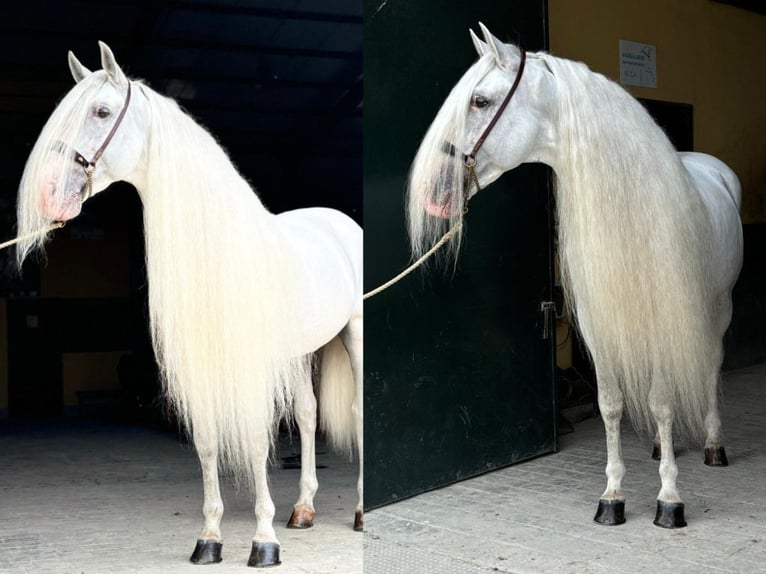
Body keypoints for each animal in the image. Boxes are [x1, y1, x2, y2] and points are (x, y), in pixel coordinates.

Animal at [16, 42, 364, 568]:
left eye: (101, 112)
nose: (47, 193)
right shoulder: (203, 365)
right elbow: (206, 442)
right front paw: (210, 539)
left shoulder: (248, 366)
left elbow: (256, 440)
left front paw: (264, 542)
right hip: (303, 349)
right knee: (307, 414)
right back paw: (303, 510)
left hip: (353, 334)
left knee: (359, 410)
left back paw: (361, 511)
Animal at [408, 25, 744, 532]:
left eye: (481, 101)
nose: (435, 191)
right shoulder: (598, 324)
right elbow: (610, 405)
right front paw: (612, 497)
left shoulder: (661, 318)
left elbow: (663, 400)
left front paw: (669, 500)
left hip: (718, 306)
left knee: (709, 367)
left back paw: (713, 445)